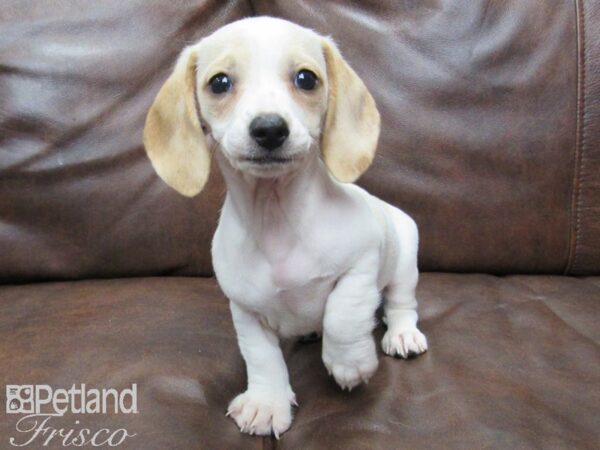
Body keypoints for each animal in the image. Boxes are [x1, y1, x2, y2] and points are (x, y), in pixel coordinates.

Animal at [144, 15, 426, 438]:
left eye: (307, 79)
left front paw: (349, 363)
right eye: (219, 82)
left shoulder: (361, 263)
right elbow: (262, 358)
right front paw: (266, 402)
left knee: (400, 304)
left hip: (404, 262)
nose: (269, 129)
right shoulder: (245, 309)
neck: (275, 215)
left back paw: (402, 333)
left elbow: (343, 313)